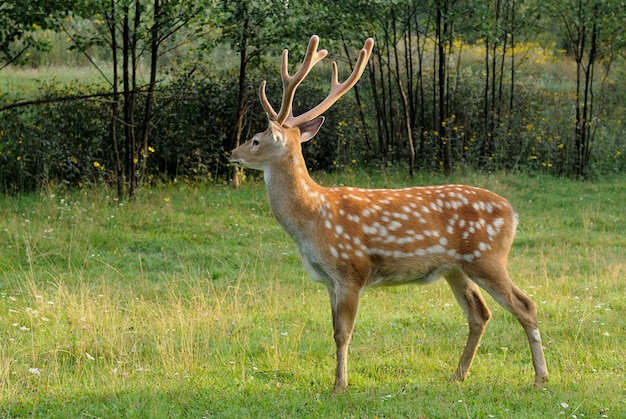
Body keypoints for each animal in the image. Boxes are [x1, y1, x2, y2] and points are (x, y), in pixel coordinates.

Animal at [228, 34, 544, 396]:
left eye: (255, 140)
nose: (231, 153)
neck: (311, 220)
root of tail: (513, 213)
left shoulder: (351, 270)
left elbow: (343, 333)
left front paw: (339, 386)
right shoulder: (328, 280)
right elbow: (333, 330)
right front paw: (337, 381)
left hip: (487, 257)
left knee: (525, 305)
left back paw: (540, 377)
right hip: (456, 268)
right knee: (480, 313)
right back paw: (458, 375)